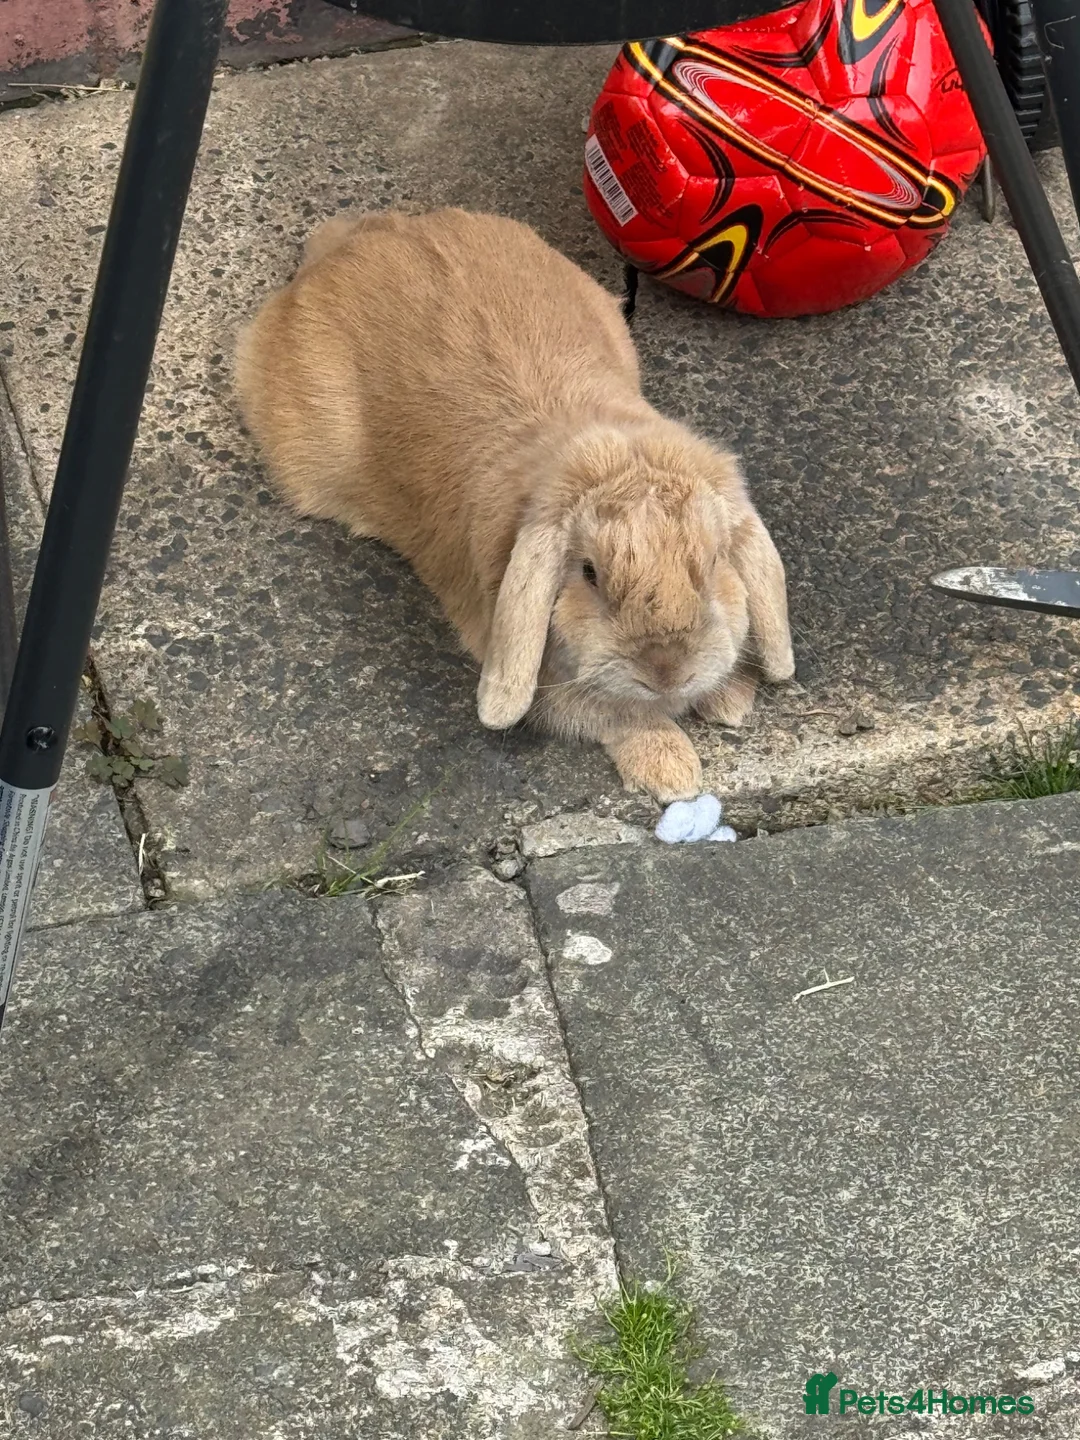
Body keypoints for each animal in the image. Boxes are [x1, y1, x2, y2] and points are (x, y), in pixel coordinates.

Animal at [234, 207, 794, 802]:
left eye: (713, 564)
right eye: (589, 574)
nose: (665, 670)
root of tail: (356, 241)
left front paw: (728, 699)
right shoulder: (557, 691)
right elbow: (618, 716)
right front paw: (673, 772)